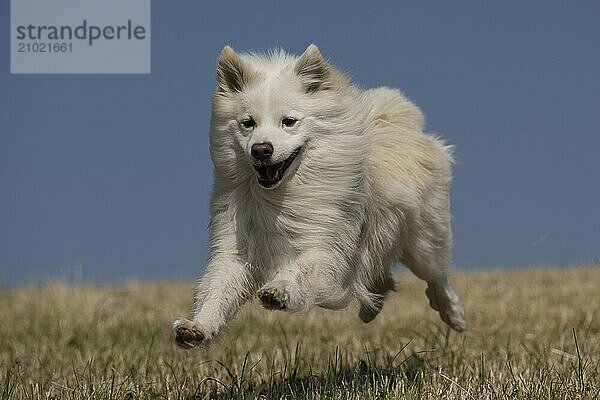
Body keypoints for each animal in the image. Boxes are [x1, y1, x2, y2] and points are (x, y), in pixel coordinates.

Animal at [171, 43, 466, 346]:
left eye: (289, 121)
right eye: (248, 123)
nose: (261, 149)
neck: (280, 196)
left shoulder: (325, 247)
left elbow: (298, 269)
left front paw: (278, 291)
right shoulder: (236, 248)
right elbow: (217, 291)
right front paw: (196, 328)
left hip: (424, 243)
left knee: (437, 278)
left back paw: (454, 315)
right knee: (381, 278)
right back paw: (371, 310)